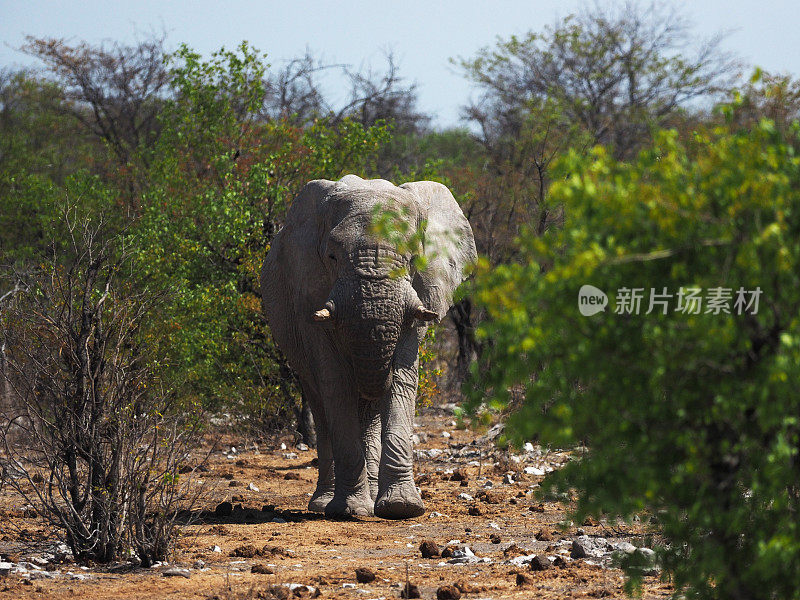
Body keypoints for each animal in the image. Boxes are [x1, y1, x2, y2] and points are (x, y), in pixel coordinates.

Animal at [262, 171, 476, 516]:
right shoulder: (311, 292)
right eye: (332, 256)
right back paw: (324, 504)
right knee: (320, 402)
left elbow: (402, 380)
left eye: (414, 258)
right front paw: (349, 511)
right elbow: (336, 382)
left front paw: (401, 508)